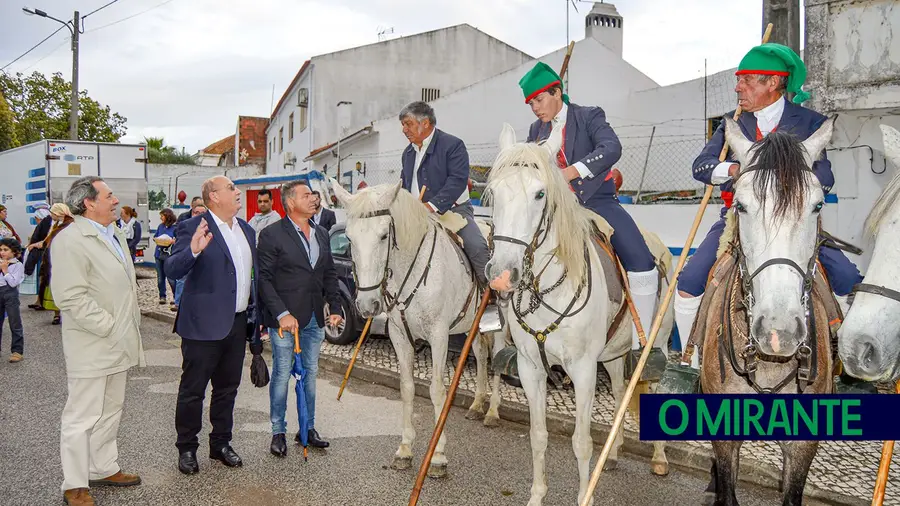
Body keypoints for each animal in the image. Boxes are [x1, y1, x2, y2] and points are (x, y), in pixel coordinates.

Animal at [330, 181, 502, 478]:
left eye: (384, 235)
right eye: (349, 239)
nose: (367, 304)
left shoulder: (438, 336)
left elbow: (437, 391)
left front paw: (438, 456)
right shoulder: (399, 336)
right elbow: (407, 387)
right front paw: (405, 449)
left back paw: (491, 412)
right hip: (473, 324)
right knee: (480, 353)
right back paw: (477, 404)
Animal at [486, 123, 668, 506]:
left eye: (540, 194)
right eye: (492, 194)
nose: (501, 275)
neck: (547, 290)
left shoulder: (583, 370)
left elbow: (581, 442)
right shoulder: (531, 368)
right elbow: (538, 435)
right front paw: (537, 496)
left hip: (655, 346)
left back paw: (659, 457)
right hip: (612, 357)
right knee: (619, 392)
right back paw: (613, 453)